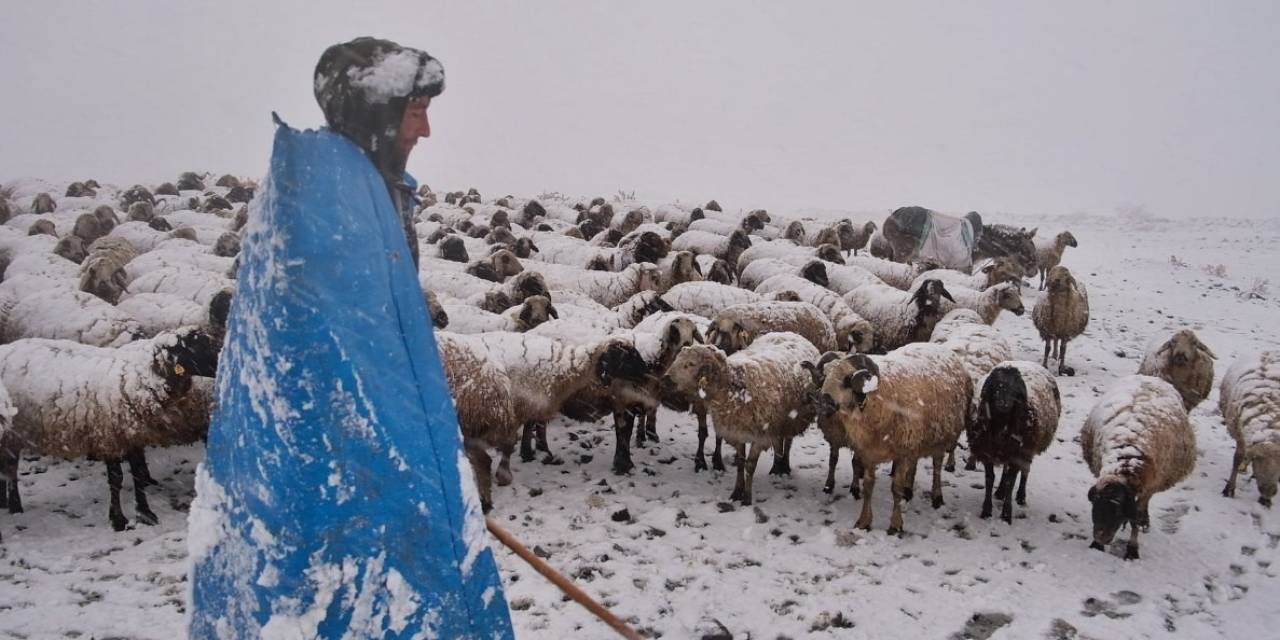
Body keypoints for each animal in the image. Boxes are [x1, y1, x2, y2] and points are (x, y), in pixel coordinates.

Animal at [660, 330, 819, 504]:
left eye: (690, 364)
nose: (665, 380)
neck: (734, 388)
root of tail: (791, 333)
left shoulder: (759, 436)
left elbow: (750, 466)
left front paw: (747, 498)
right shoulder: (737, 432)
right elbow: (741, 463)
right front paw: (736, 492)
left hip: (793, 420)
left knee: (788, 441)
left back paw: (784, 466)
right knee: (779, 441)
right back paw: (776, 467)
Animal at [819, 343, 967, 532]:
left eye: (847, 380)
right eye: (825, 375)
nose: (823, 402)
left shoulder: (902, 453)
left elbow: (896, 488)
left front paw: (896, 524)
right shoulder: (868, 452)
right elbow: (868, 487)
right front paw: (864, 521)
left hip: (940, 436)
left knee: (937, 466)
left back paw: (936, 496)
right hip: (917, 440)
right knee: (915, 463)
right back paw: (909, 491)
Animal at [967, 363, 1059, 522]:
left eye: (1014, 390)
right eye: (996, 386)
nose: (1003, 403)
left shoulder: (1019, 453)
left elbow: (1011, 480)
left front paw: (1006, 514)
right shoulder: (987, 452)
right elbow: (990, 479)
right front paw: (986, 510)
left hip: (1028, 448)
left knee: (1025, 470)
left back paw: (1021, 496)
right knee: (1006, 468)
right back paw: (1000, 492)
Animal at [1085, 373, 1192, 560]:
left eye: (1118, 511)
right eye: (1095, 506)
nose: (1101, 538)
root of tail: (1152, 377)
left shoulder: (1146, 486)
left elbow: (1135, 517)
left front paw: (1132, 549)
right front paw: (1096, 546)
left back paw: (1144, 521)